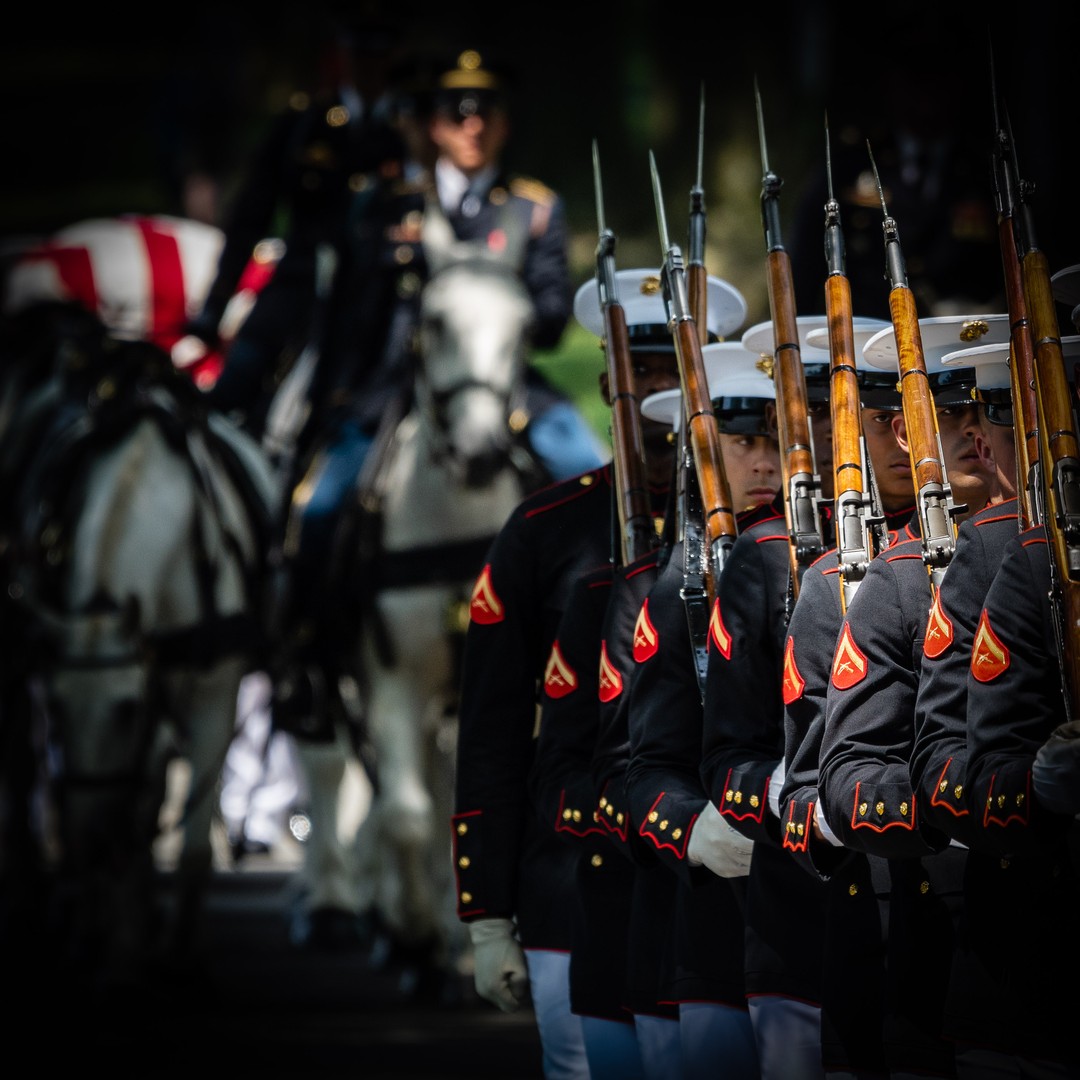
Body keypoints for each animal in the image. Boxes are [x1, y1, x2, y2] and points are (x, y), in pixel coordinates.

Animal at [2, 302, 278, 993]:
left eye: (124, 710)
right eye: (59, 708)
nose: (86, 839)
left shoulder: (208, 692)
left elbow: (186, 840)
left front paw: (176, 950)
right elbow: (114, 817)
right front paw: (114, 940)